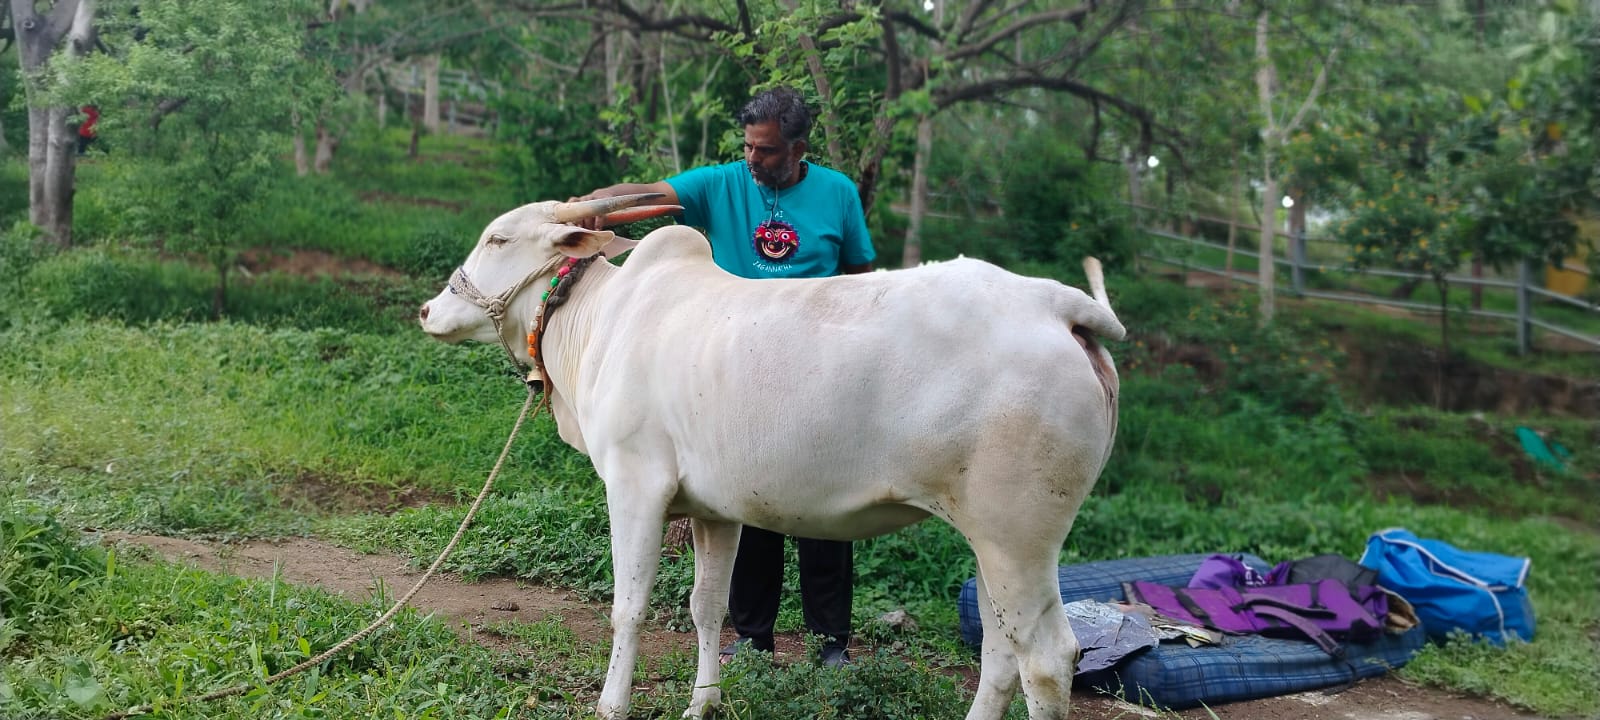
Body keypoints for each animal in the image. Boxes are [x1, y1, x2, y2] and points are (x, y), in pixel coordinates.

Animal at [418, 193, 1125, 720]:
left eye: (498, 240)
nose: (428, 310)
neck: (600, 320)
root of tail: (1056, 305)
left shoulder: (634, 486)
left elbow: (629, 606)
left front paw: (611, 704)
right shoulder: (714, 512)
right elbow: (708, 606)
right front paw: (701, 705)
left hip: (1017, 537)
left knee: (1045, 661)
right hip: (994, 542)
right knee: (1003, 652)